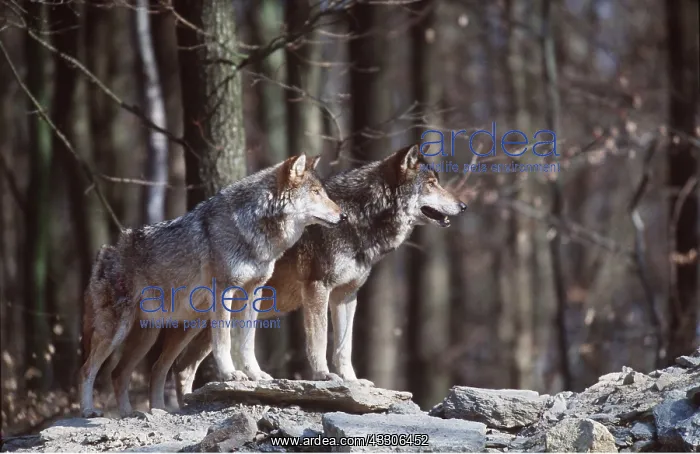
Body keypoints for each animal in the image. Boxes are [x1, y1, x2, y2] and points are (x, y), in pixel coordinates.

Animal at [79, 154, 345, 418]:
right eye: (315, 192)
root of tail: (104, 252)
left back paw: (141, 412)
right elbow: (224, 341)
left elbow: (247, 342)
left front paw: (255, 374)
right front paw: (230, 374)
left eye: (322, 192)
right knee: (89, 369)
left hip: (166, 333)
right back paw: (90, 411)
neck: (253, 231)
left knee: (137, 371)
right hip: (118, 332)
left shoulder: (252, 294)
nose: (343, 216)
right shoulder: (223, 292)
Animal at [163, 143, 467, 406]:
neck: (358, 217)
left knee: (182, 367)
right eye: (431, 184)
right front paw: (323, 376)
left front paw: (351, 381)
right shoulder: (318, 288)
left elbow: (344, 346)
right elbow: (320, 341)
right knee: (178, 365)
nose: (464, 207)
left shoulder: (347, 296)